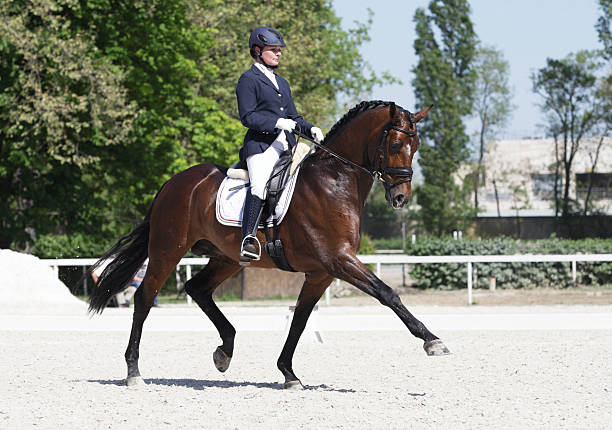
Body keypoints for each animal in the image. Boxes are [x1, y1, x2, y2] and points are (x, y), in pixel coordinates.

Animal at [87, 101, 450, 390]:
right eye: (396, 142)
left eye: (416, 144)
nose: (401, 198)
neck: (334, 182)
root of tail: (173, 182)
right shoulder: (340, 260)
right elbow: (388, 293)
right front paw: (432, 341)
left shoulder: (321, 273)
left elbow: (300, 320)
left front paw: (288, 374)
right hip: (167, 249)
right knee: (145, 297)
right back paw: (134, 372)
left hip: (226, 258)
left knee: (196, 289)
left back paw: (225, 351)